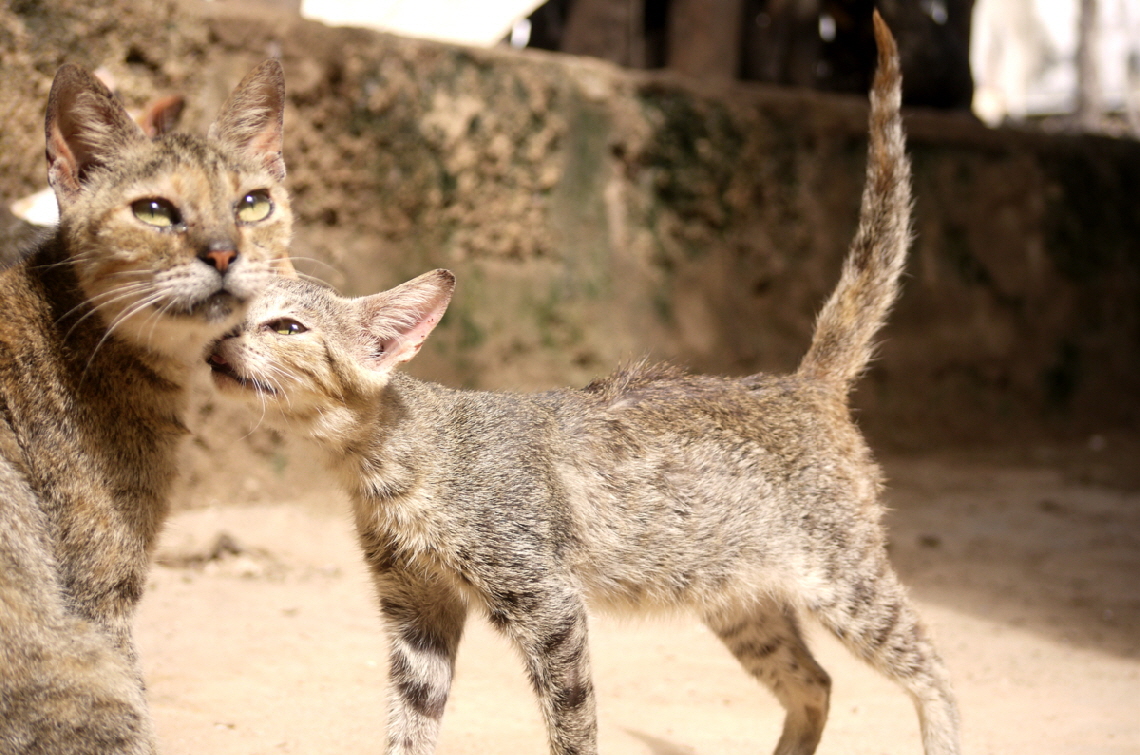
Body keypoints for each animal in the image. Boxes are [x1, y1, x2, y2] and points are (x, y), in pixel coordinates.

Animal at [212, 16, 953, 755]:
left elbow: (573, 725)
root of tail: (803, 383)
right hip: (740, 601)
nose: (218, 344)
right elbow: (408, 729)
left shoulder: (548, 603)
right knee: (814, 683)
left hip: (847, 582)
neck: (385, 464)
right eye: (227, 311)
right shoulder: (417, 609)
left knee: (935, 671)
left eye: (286, 326)